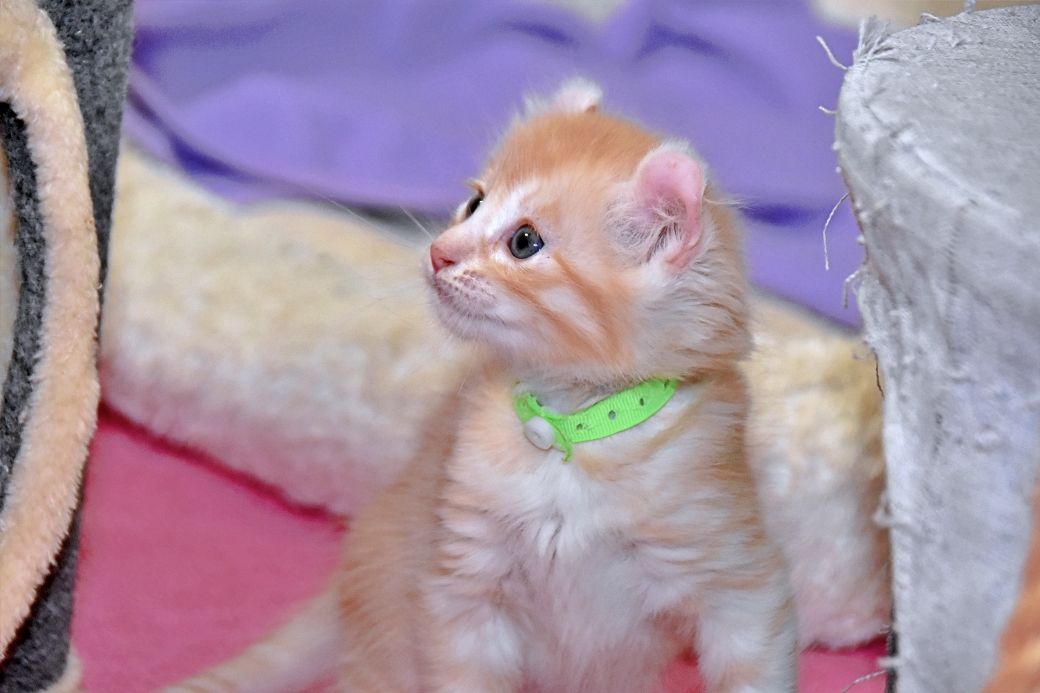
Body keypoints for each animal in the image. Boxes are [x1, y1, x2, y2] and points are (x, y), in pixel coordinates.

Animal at [166, 78, 797, 693]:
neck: (572, 430)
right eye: (474, 203)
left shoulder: (736, 576)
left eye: (524, 243)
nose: (437, 253)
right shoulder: (463, 583)